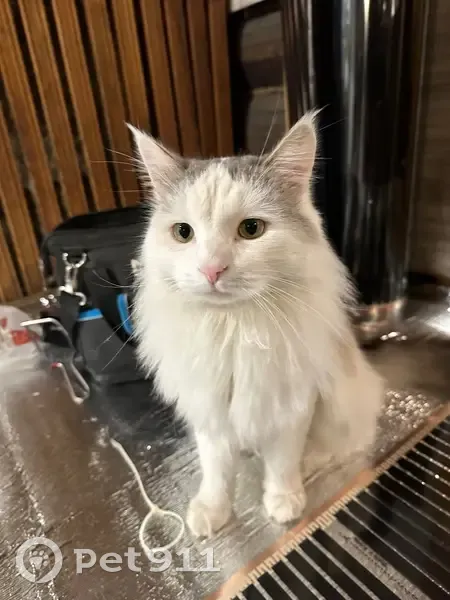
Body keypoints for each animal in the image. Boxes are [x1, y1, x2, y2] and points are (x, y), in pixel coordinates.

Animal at [129, 113, 383, 538]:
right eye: (183, 233)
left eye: (251, 230)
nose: (211, 270)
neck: (233, 328)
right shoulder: (211, 409)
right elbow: (216, 472)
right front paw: (213, 510)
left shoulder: (293, 405)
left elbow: (282, 463)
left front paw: (283, 501)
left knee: (334, 446)